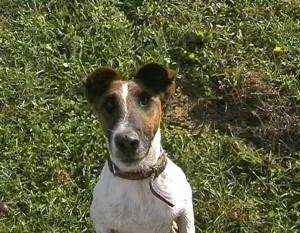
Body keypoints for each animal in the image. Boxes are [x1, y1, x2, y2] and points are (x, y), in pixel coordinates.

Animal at [84, 62, 195, 232]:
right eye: (109, 104)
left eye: (145, 100)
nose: (126, 142)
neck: (139, 177)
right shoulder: (102, 223)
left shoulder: (185, 209)